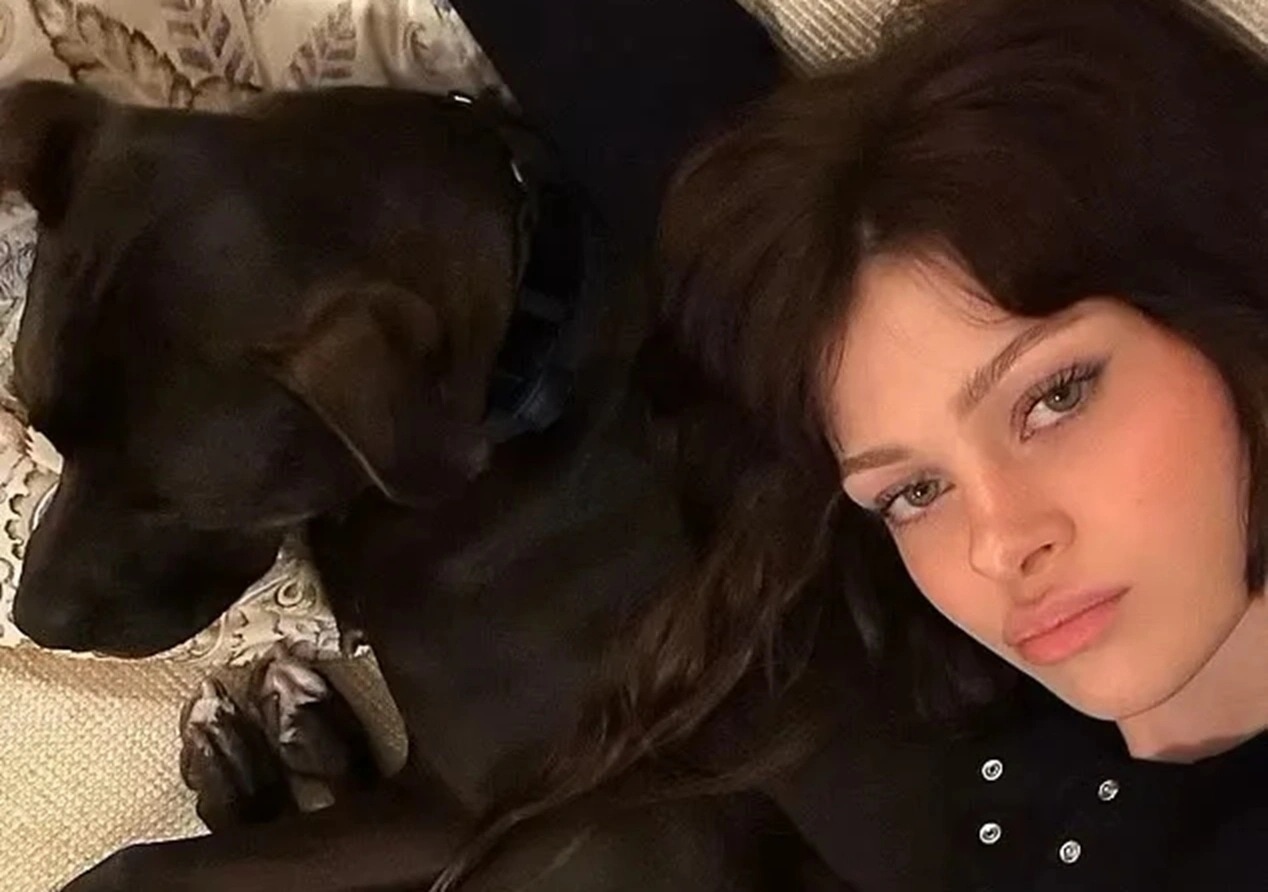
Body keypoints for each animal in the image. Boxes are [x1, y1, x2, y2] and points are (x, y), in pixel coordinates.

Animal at [0, 81, 846, 892]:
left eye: (181, 503)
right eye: (46, 432)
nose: (32, 619)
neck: (521, 372)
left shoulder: (452, 814)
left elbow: (142, 866)